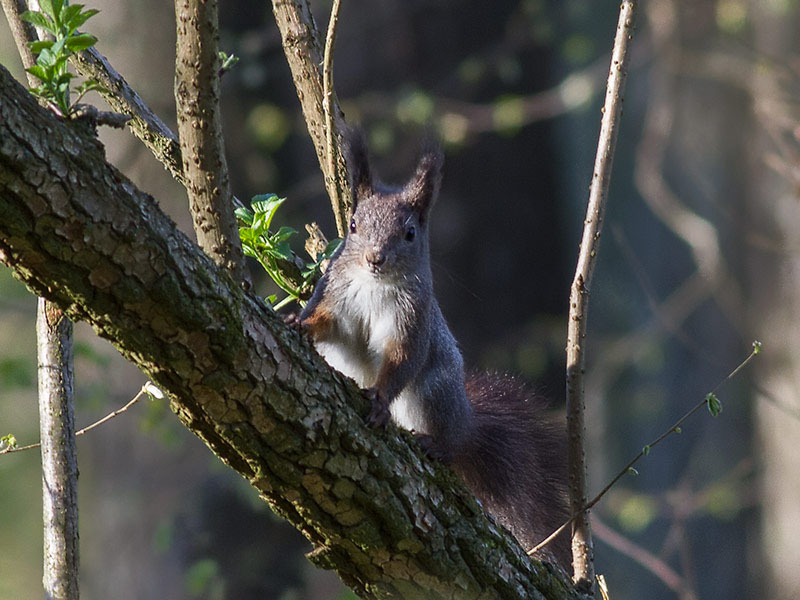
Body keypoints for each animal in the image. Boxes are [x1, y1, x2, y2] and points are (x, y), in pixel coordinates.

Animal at [298, 127, 568, 568]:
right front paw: (300, 324)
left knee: (447, 440)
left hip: (433, 394)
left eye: (409, 233)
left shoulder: (414, 320)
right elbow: (328, 324)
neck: (374, 286)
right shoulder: (336, 296)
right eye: (353, 225)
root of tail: (466, 422)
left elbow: (402, 360)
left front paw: (379, 398)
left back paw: (435, 444)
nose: (374, 258)